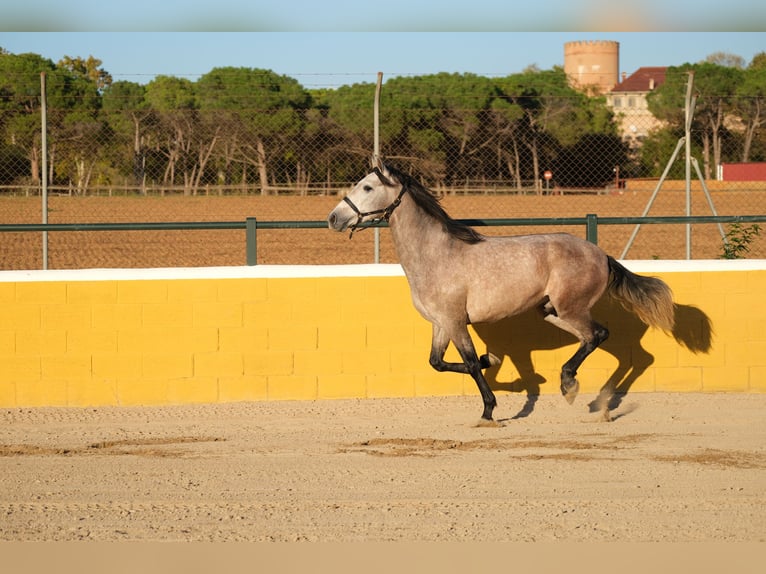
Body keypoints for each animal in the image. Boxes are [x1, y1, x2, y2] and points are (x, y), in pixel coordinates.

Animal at [328, 160, 676, 426]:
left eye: (367, 187)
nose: (334, 218)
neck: (436, 255)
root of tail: (601, 254)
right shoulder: (440, 323)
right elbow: (437, 362)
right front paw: (491, 360)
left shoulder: (455, 322)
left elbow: (469, 364)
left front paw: (487, 410)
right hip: (551, 311)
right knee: (597, 340)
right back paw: (589, 398)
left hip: (570, 308)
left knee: (598, 335)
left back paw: (575, 389)